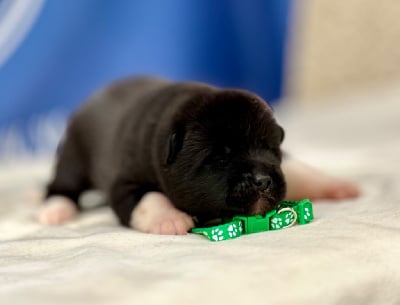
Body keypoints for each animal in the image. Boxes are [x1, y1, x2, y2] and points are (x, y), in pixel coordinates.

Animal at [40, 76, 286, 233]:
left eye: (271, 149)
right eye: (221, 158)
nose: (262, 181)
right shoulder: (123, 183)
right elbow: (149, 197)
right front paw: (170, 219)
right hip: (73, 155)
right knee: (61, 185)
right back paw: (56, 209)